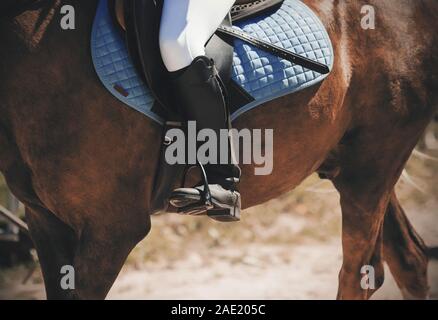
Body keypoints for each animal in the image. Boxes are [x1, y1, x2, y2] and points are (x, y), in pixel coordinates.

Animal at [0, 0, 438, 300]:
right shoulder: (46, 222)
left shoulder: (111, 227)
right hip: (352, 167)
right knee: (409, 260)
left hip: (373, 165)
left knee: (358, 273)